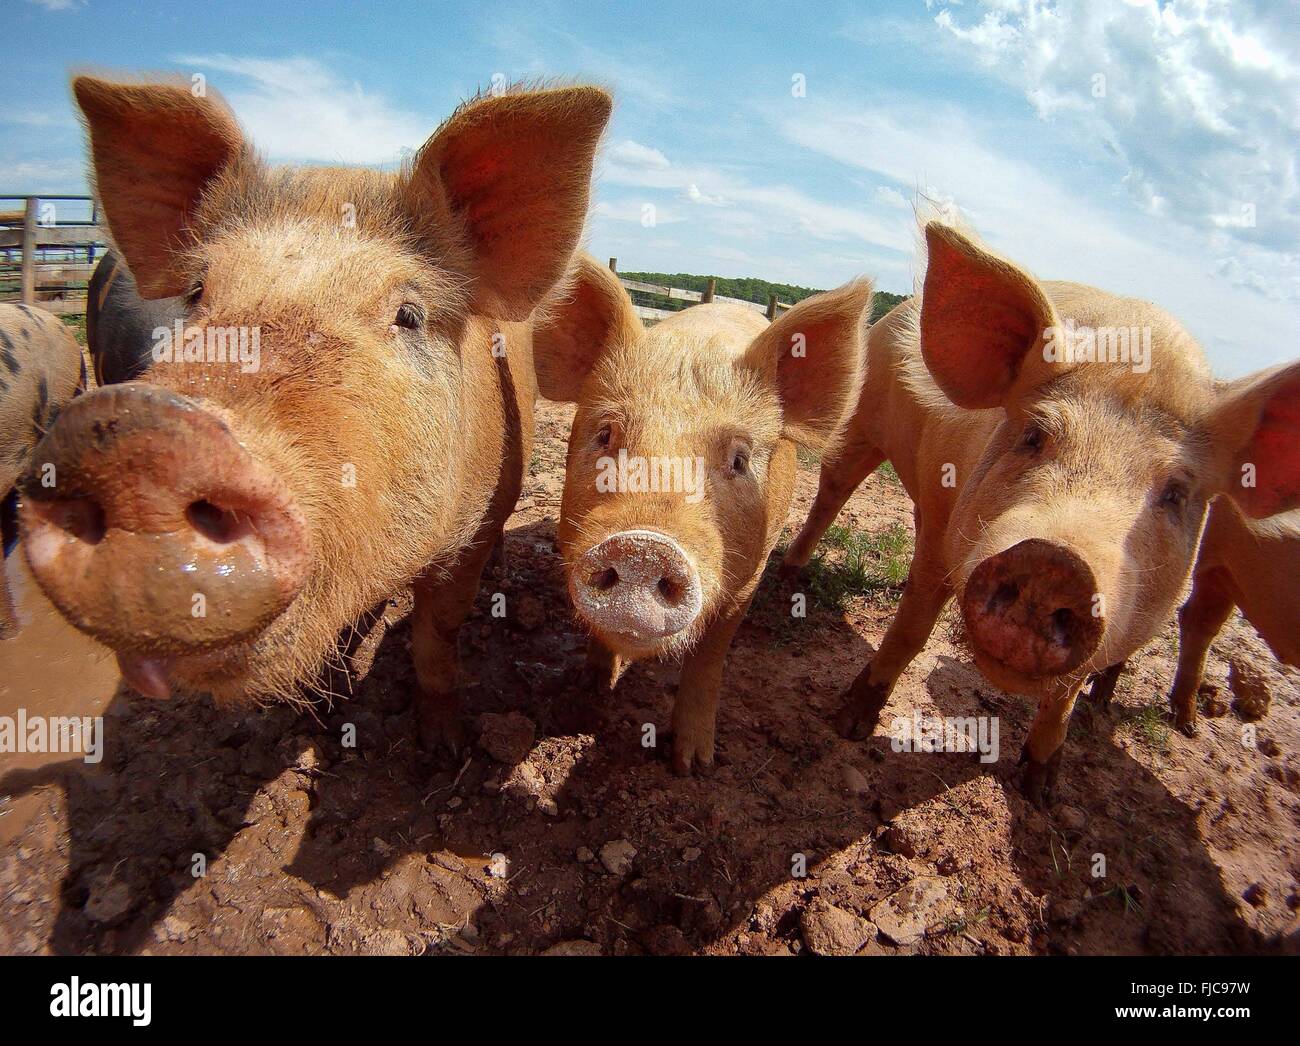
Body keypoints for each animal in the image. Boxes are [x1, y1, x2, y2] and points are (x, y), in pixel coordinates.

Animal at [532, 253, 873, 774]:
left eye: (739, 460)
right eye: (606, 434)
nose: (643, 547)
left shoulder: (747, 578)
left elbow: (709, 657)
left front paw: (694, 765)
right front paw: (590, 690)